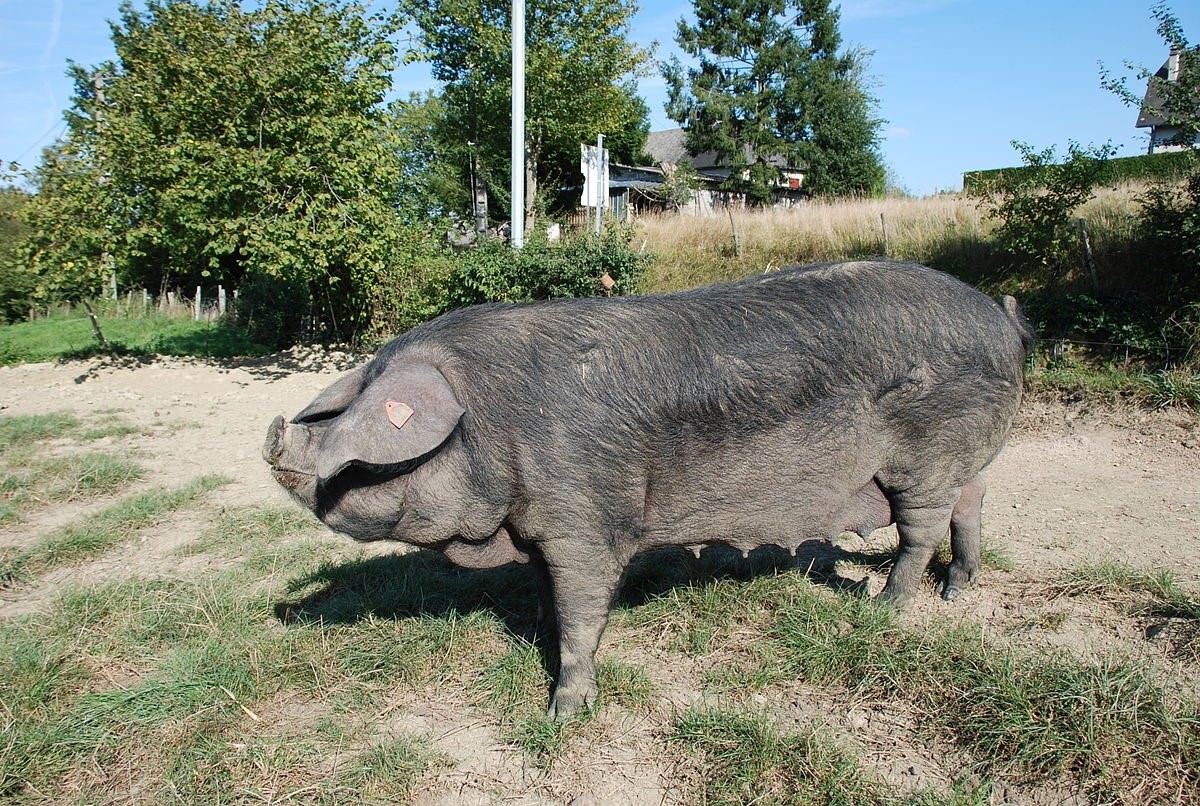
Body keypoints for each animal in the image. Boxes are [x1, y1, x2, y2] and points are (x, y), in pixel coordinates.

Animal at [262, 257, 1032, 719]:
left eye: (360, 463)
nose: (278, 444)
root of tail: (1001, 317)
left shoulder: (586, 516)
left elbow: (582, 609)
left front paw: (563, 713)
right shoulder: (544, 530)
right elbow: (550, 597)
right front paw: (536, 636)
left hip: (923, 457)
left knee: (921, 528)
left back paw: (885, 607)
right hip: (965, 457)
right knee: (973, 504)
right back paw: (958, 590)